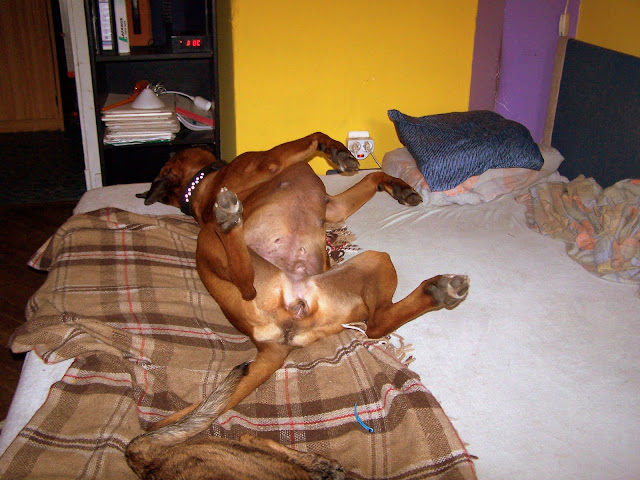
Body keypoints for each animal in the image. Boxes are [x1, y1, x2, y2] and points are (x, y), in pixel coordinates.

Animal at [127, 132, 469, 478]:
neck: (202, 184)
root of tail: (274, 342)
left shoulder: (334, 208)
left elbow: (371, 176)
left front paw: (396, 185)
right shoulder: (266, 163)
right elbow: (314, 136)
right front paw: (337, 151)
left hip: (372, 263)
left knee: (378, 323)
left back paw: (440, 291)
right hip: (215, 244)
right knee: (246, 282)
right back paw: (229, 219)